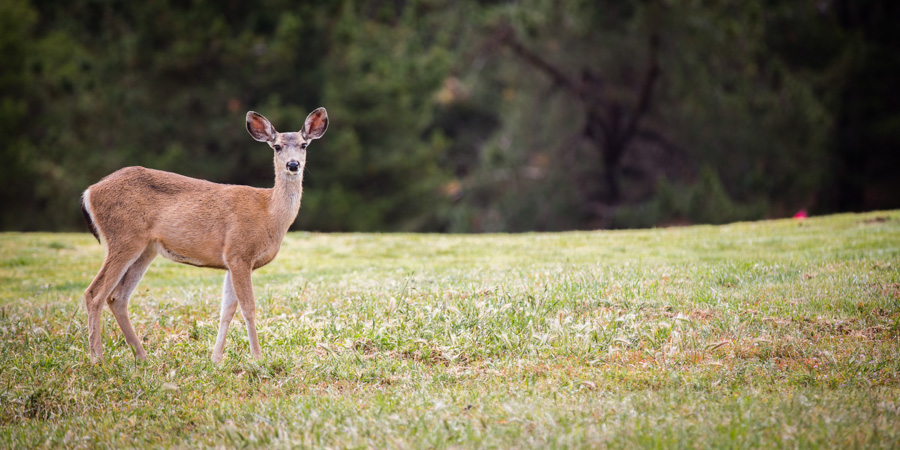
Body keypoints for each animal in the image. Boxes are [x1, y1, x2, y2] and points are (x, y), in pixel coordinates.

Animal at [80, 107, 326, 364]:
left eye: (304, 144)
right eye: (277, 146)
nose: (293, 164)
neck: (269, 213)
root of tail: (89, 192)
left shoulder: (231, 260)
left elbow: (226, 310)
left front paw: (216, 358)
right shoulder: (239, 252)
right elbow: (248, 307)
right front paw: (257, 357)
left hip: (145, 248)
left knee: (117, 297)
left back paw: (142, 356)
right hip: (123, 237)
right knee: (94, 294)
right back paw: (98, 359)